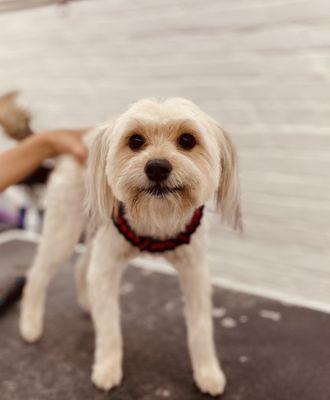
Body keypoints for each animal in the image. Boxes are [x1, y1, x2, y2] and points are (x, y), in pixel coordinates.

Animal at [19, 97, 241, 396]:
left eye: (187, 139)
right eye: (135, 140)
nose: (157, 167)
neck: (156, 220)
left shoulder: (195, 271)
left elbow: (201, 327)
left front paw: (207, 372)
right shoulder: (107, 263)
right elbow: (109, 327)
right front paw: (107, 368)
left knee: (81, 267)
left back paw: (87, 303)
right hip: (64, 230)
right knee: (37, 275)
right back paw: (30, 325)